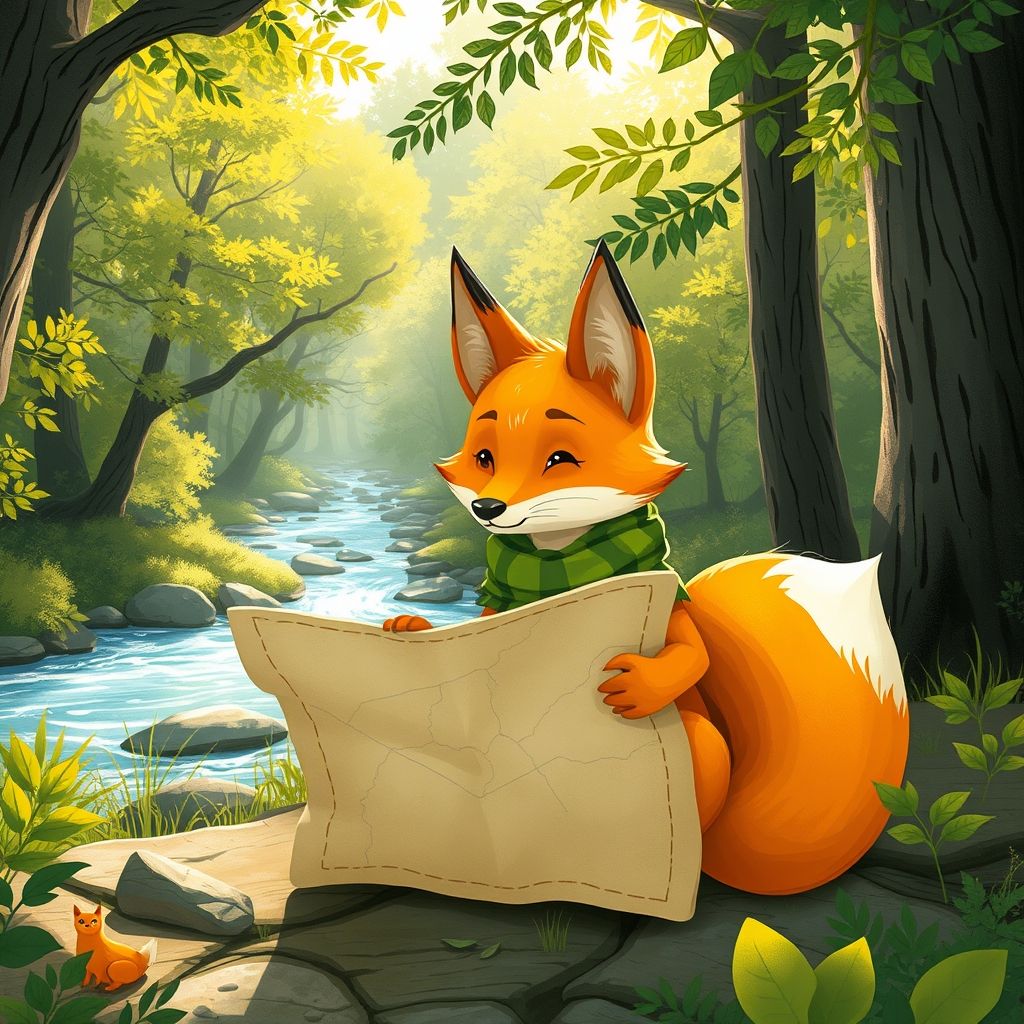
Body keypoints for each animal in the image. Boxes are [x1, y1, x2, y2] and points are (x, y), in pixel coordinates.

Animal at [383, 240, 910, 896]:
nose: (487, 508)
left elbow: (692, 654)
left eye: (561, 459)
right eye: (484, 457)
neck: (559, 559)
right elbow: (466, 633)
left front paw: (639, 684)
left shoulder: (668, 603)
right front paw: (412, 627)